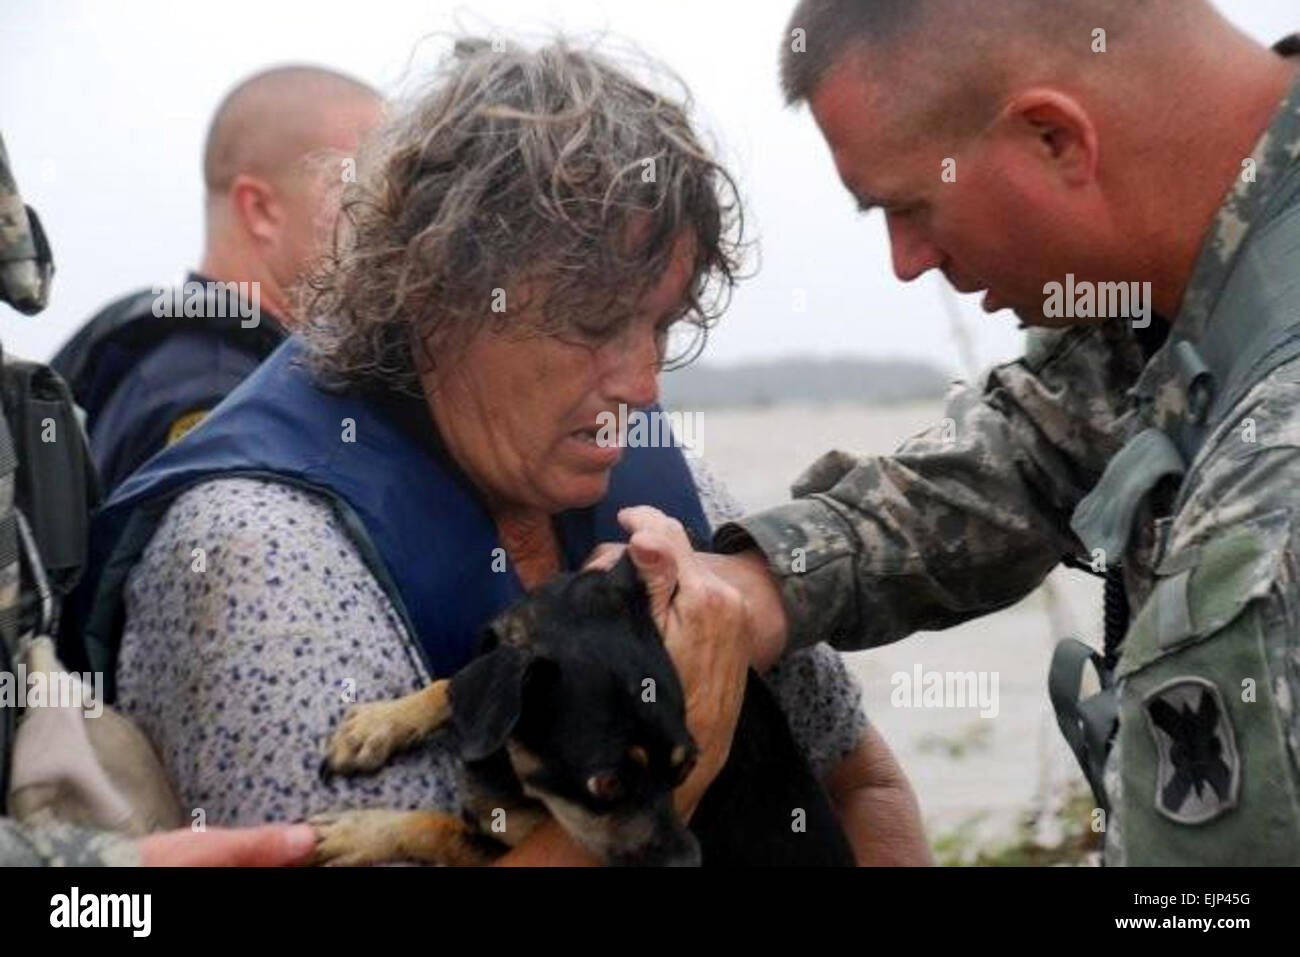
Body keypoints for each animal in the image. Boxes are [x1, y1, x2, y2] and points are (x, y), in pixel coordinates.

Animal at [308, 553, 847, 868]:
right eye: (606, 784)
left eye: (688, 769)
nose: (689, 862)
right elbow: (458, 684)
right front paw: (380, 724)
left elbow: (440, 827)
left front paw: (361, 833)